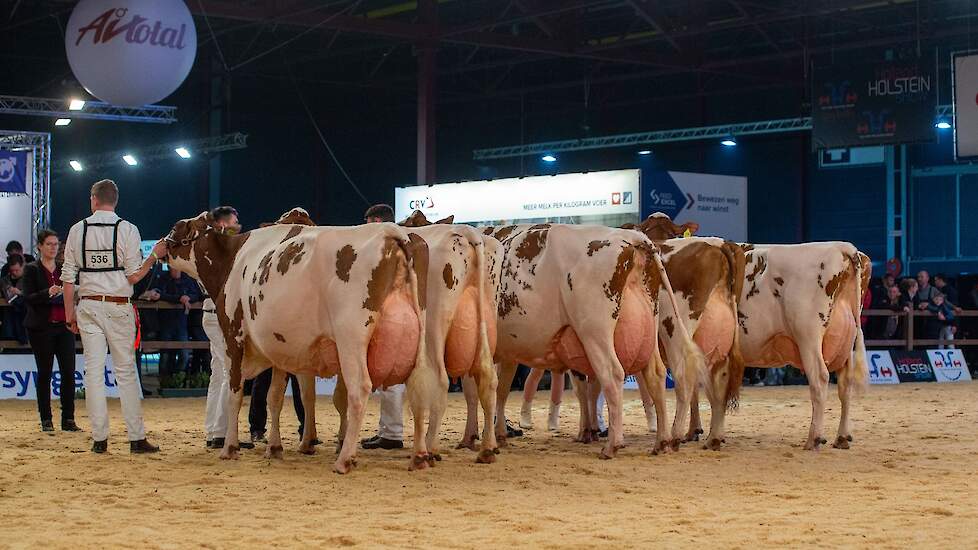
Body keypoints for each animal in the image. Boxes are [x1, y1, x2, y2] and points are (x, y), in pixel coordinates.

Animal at [165, 209, 434, 472]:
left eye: (177, 226)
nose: (160, 244)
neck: (234, 260)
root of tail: (393, 233)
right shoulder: (284, 350)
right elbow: (278, 397)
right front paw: (278, 447)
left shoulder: (234, 336)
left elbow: (235, 394)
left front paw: (230, 448)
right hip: (419, 338)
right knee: (419, 388)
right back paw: (419, 456)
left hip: (351, 340)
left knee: (359, 390)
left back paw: (345, 459)